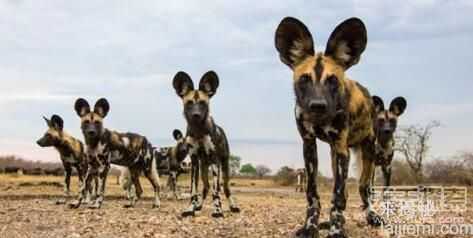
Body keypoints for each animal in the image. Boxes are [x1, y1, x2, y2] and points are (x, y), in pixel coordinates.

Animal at [171, 70, 240, 218]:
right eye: (189, 103)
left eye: (203, 103)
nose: (196, 115)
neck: (199, 131)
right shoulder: (194, 162)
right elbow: (193, 190)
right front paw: (190, 208)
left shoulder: (214, 160)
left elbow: (216, 191)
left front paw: (218, 211)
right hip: (203, 168)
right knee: (206, 187)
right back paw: (199, 206)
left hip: (224, 166)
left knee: (225, 188)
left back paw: (233, 206)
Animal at [274, 15, 382, 237]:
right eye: (304, 79)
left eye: (332, 80)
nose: (317, 105)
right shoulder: (309, 147)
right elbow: (313, 194)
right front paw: (311, 226)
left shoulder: (342, 149)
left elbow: (338, 196)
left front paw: (336, 230)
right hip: (335, 156)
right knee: (347, 191)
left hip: (367, 153)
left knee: (363, 189)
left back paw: (372, 216)